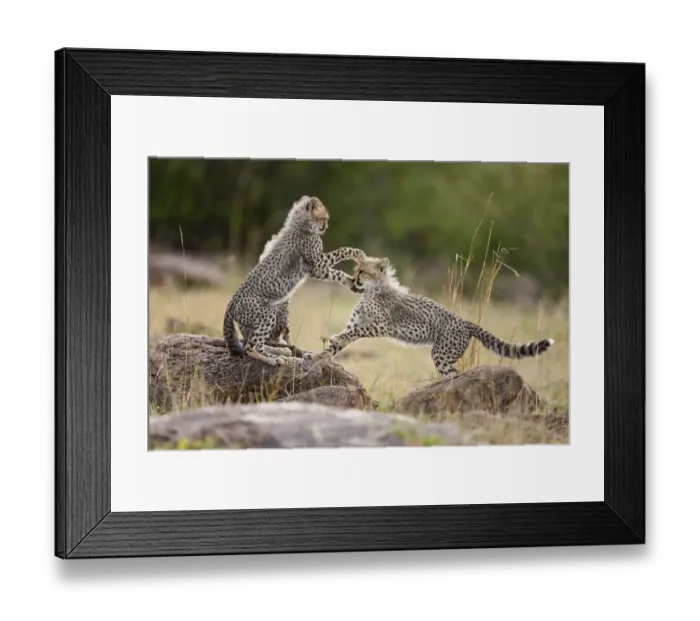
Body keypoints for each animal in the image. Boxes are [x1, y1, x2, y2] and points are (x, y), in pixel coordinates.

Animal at [223, 195, 366, 366]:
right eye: (322, 218)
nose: (325, 226)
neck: (300, 224)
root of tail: (230, 304)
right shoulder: (318, 265)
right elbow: (342, 251)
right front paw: (357, 253)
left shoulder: (316, 269)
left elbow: (336, 274)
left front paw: (353, 283)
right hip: (267, 313)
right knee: (251, 347)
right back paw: (275, 358)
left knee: (254, 342)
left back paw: (280, 350)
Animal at [316, 256, 555, 378]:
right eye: (356, 271)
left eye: (362, 272)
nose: (354, 280)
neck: (372, 289)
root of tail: (465, 322)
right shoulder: (357, 323)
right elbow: (345, 338)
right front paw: (320, 355)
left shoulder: (383, 326)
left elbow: (356, 332)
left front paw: (333, 342)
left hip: (442, 353)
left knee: (453, 373)